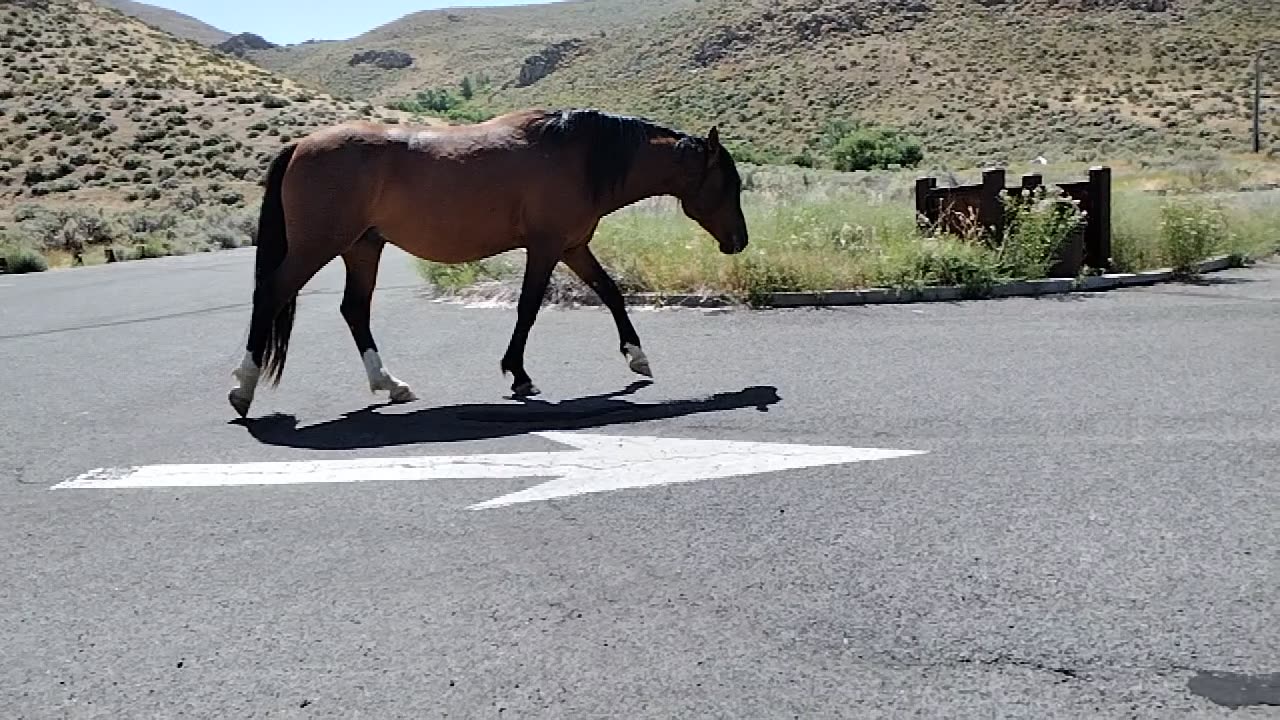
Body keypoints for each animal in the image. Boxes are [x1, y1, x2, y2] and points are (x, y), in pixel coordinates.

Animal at [227, 105, 747, 415]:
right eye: (729, 183)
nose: (740, 241)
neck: (577, 156)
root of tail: (299, 145)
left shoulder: (573, 247)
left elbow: (611, 293)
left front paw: (638, 358)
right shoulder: (546, 247)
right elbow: (529, 308)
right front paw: (519, 375)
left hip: (362, 247)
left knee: (354, 310)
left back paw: (391, 385)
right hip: (318, 247)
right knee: (271, 295)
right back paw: (243, 389)